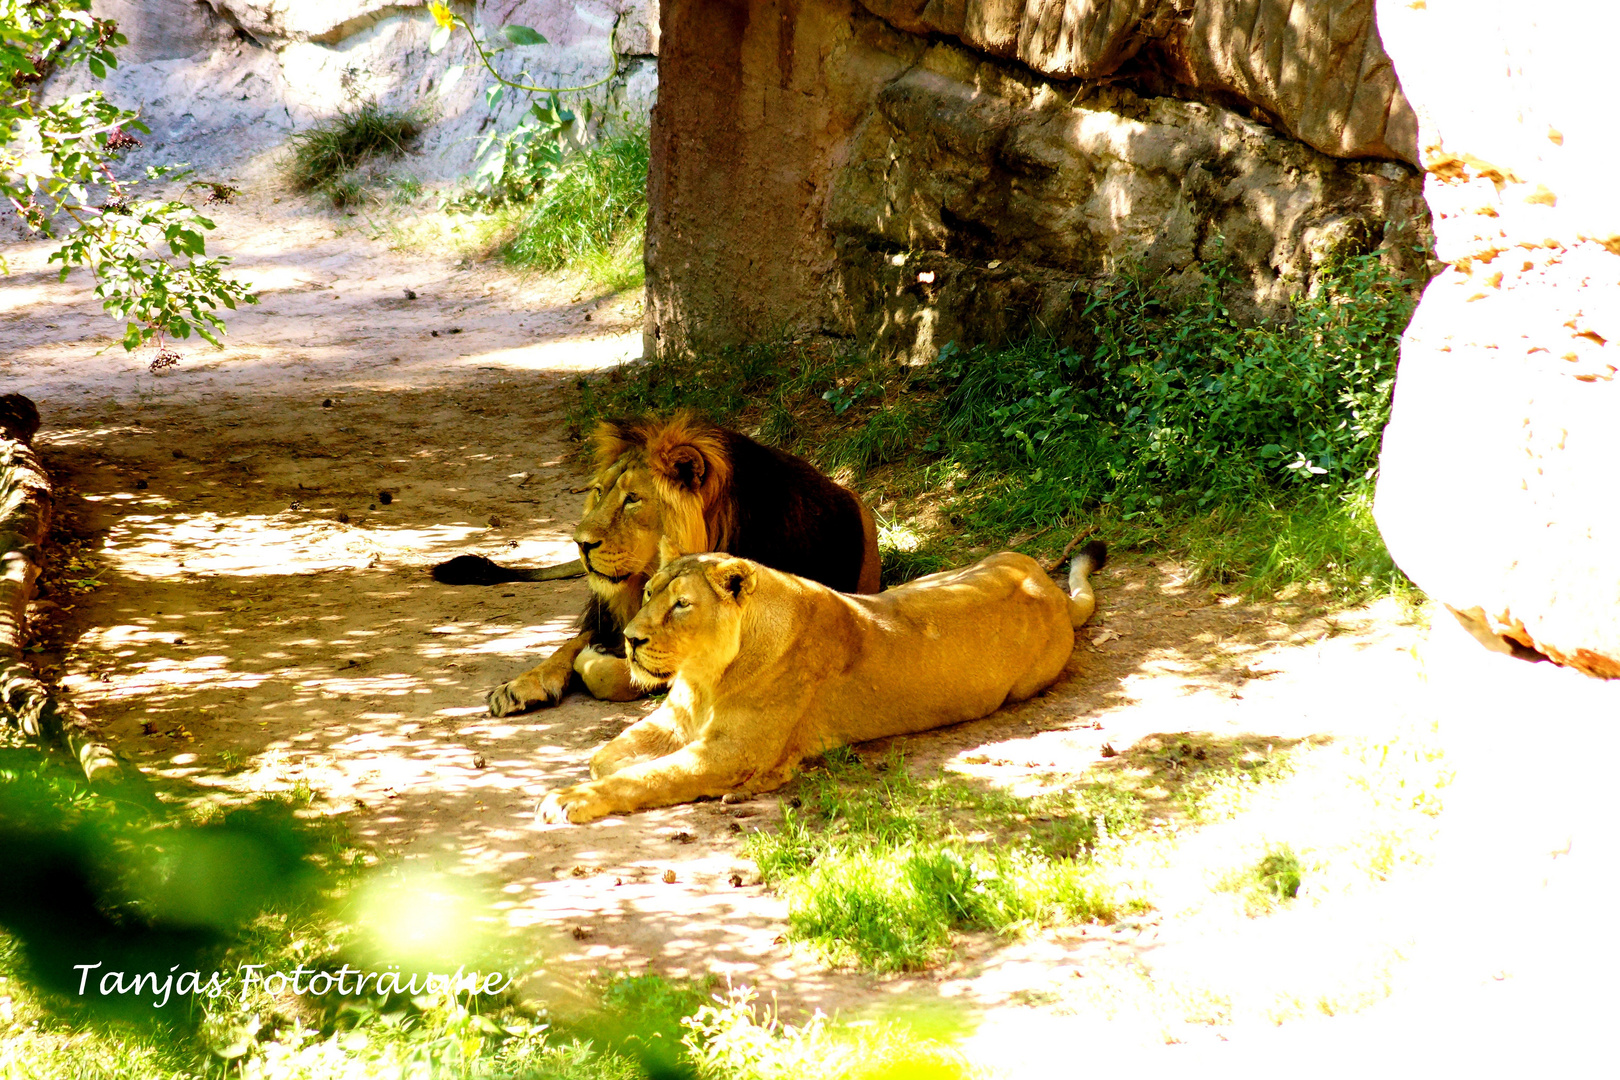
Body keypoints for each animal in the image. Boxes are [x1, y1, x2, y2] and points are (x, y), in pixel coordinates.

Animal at [486, 409, 881, 712]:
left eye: (632, 498)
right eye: (599, 491)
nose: (580, 544)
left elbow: (614, 672)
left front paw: (595, 659)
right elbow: (570, 642)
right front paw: (521, 685)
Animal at [537, 544, 1108, 822]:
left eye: (681, 604)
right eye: (649, 592)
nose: (630, 639)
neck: (705, 679)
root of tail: (1048, 589)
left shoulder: (726, 754)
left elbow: (646, 777)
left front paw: (568, 799)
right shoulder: (675, 721)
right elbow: (609, 758)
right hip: (934, 579)